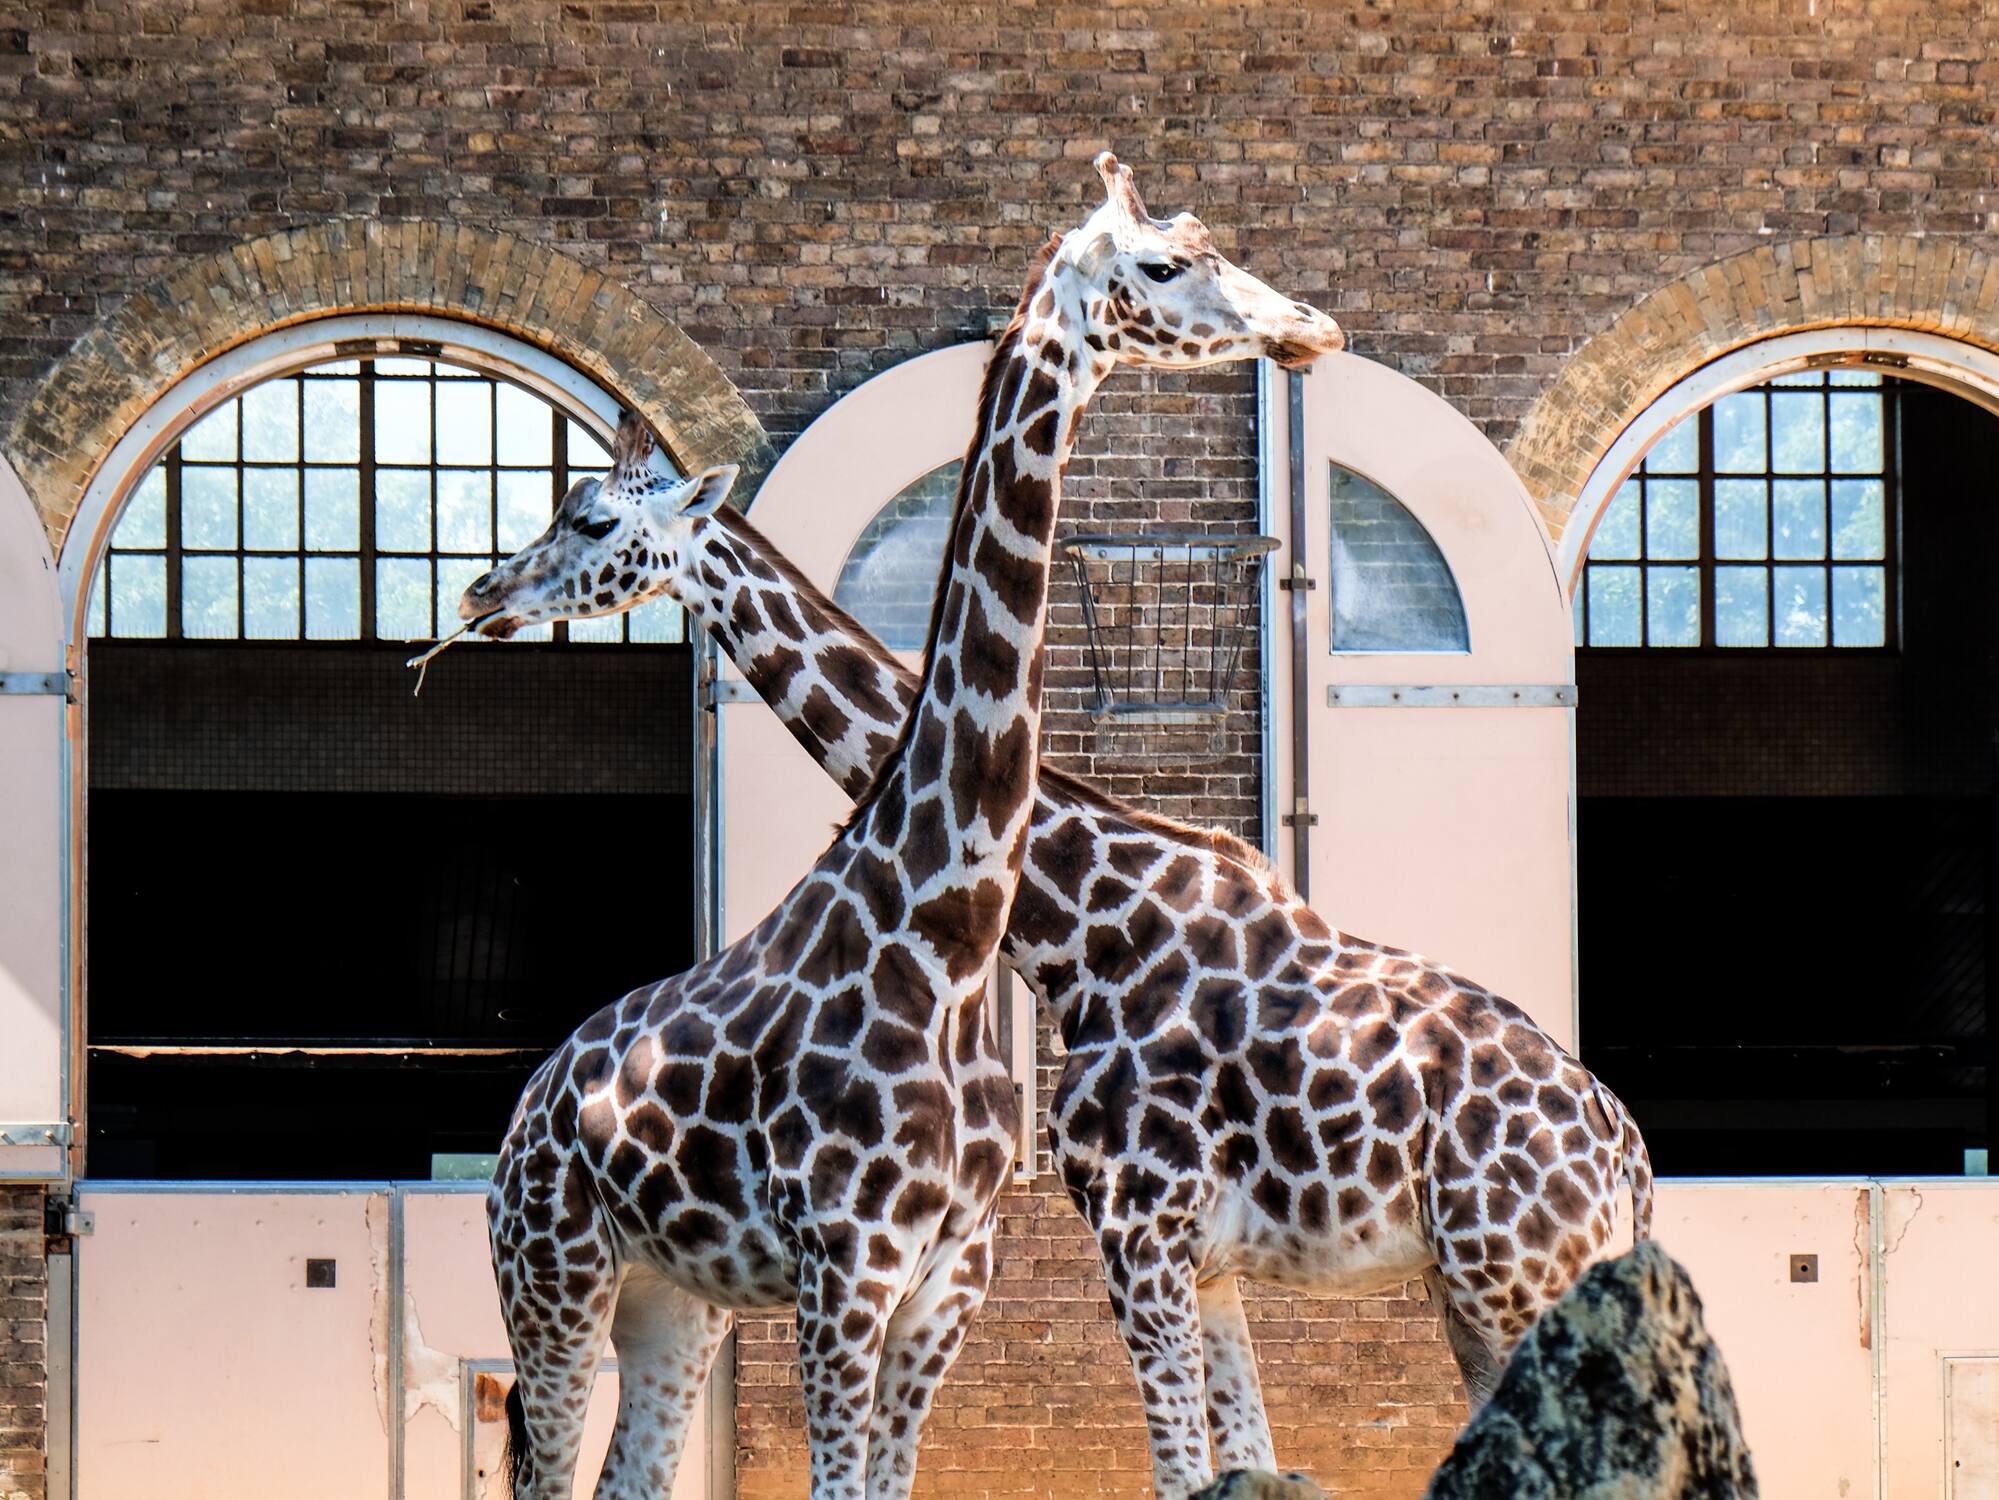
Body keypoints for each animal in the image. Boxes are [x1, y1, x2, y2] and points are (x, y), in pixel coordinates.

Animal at [466, 325, 1651, 1496]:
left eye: (592, 519)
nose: (484, 591)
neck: (1081, 926)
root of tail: (1626, 1158)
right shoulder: (1200, 1262)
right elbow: (1243, 1460)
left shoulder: (1136, 1227)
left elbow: (1182, 1468)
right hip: (1488, 1289)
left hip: (1509, 1278)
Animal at [480, 153, 1350, 1500]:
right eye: (1163, 264)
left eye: (591, 520)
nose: (483, 590)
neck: (953, 926)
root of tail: (528, 1103)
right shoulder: (853, 1266)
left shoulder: (955, 1273)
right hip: (558, 1278)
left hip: (672, 1300)